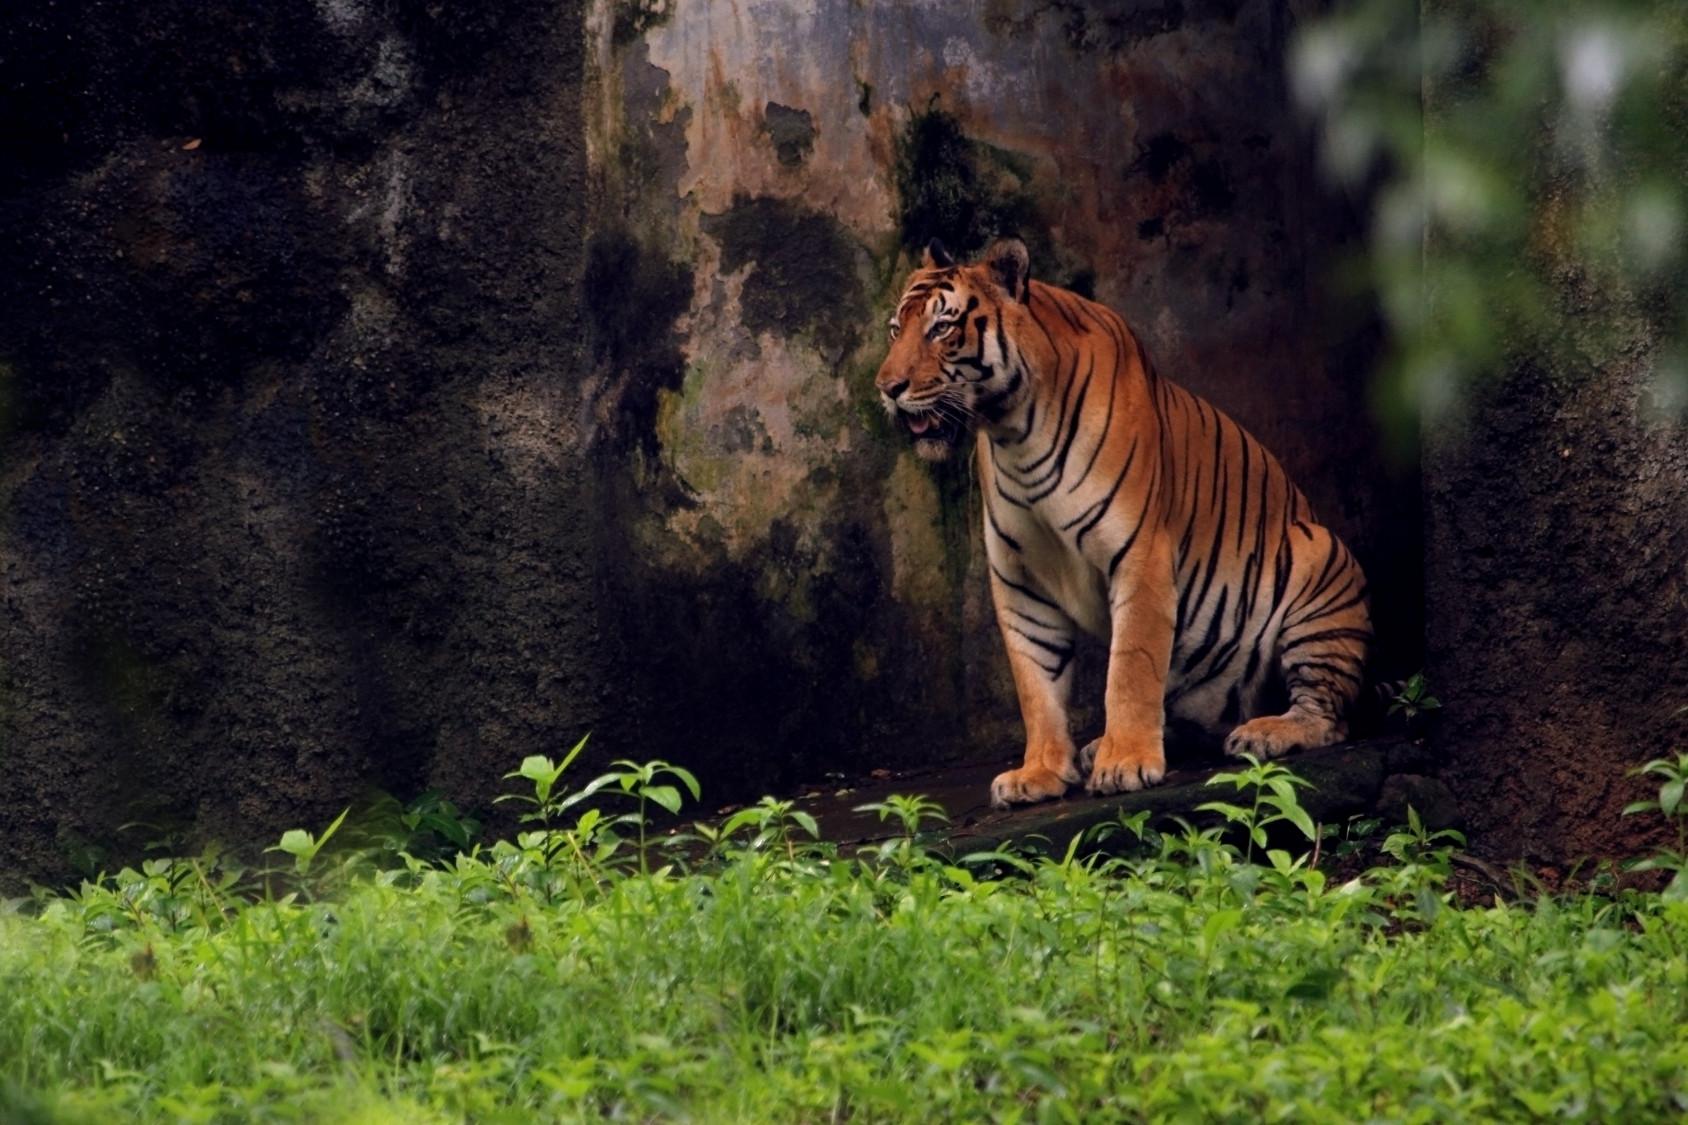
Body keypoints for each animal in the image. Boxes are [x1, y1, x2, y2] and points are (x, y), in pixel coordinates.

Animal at [871, 236, 1370, 807]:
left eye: (941, 328)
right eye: (896, 329)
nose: (886, 387)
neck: (1013, 430)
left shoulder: (1140, 554)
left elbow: (1131, 667)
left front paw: (1126, 762)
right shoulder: (1019, 579)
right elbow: (1035, 683)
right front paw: (1039, 772)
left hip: (1318, 556)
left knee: (1328, 715)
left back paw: (1262, 733)